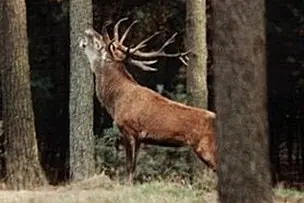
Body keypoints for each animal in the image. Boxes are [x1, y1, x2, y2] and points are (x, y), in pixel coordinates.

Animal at [78, 17, 216, 182]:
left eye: (98, 43)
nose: (87, 30)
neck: (115, 101)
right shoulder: (139, 138)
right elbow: (134, 168)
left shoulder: (129, 129)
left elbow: (128, 167)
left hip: (208, 148)